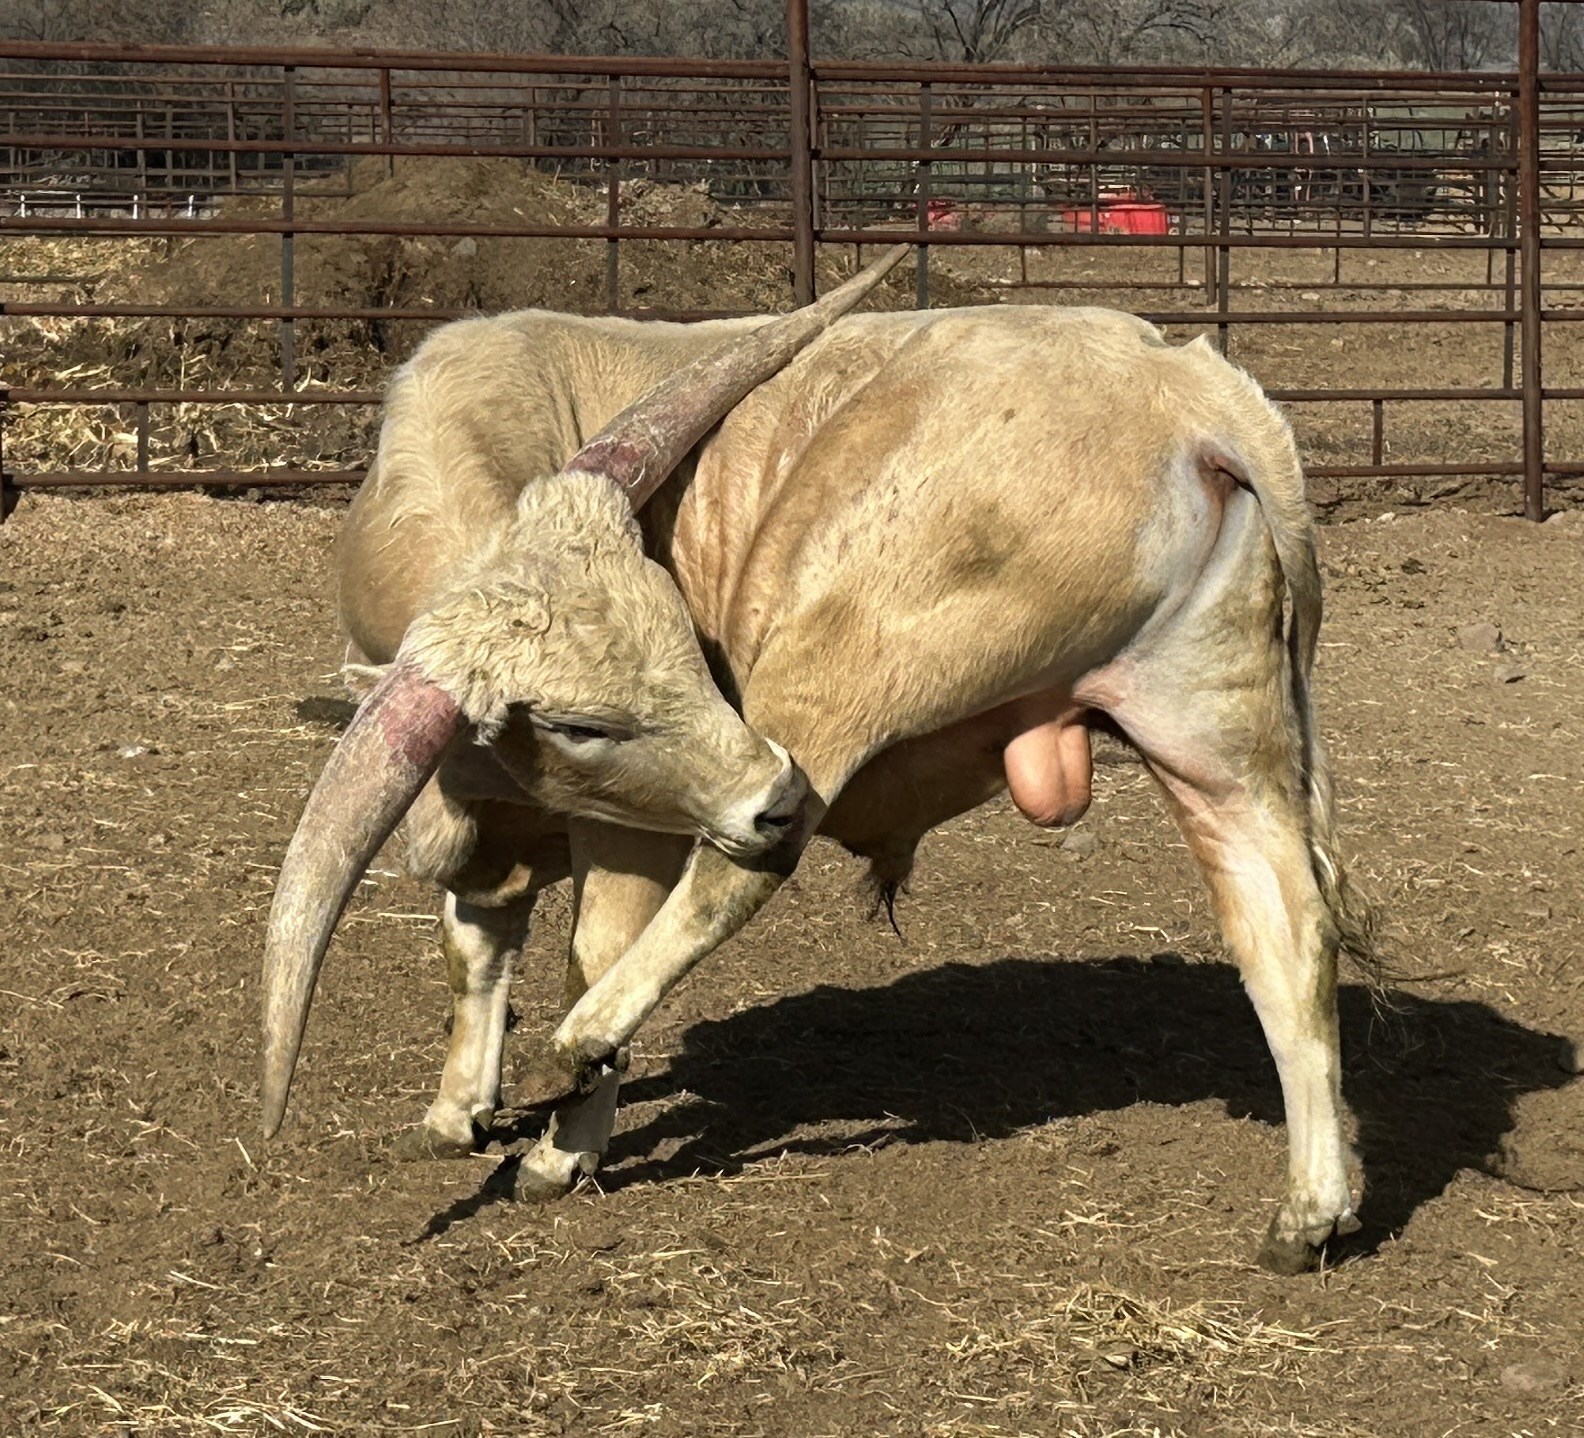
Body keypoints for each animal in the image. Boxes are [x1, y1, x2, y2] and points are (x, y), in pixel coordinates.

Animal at [262, 261, 1376, 1275]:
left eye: (683, 639)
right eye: (576, 721)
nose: (769, 787)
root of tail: (1188, 393)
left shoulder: (626, 824)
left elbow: (597, 942)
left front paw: (562, 1141)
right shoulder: (485, 829)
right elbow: (475, 947)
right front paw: (458, 1107)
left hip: (835, 668)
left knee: (738, 878)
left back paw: (582, 1040)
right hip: (1210, 731)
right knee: (1286, 937)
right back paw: (1310, 1213)